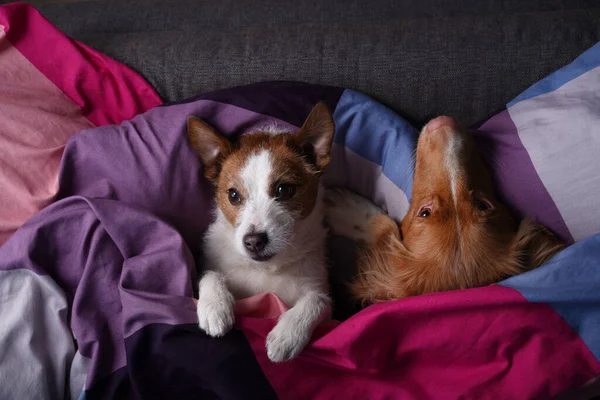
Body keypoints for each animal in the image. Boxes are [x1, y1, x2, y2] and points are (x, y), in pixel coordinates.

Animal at [189, 103, 332, 362]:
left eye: (284, 190)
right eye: (233, 195)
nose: (254, 241)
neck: (265, 269)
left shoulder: (325, 301)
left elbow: (316, 300)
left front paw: (288, 334)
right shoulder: (209, 265)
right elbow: (209, 274)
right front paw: (215, 306)